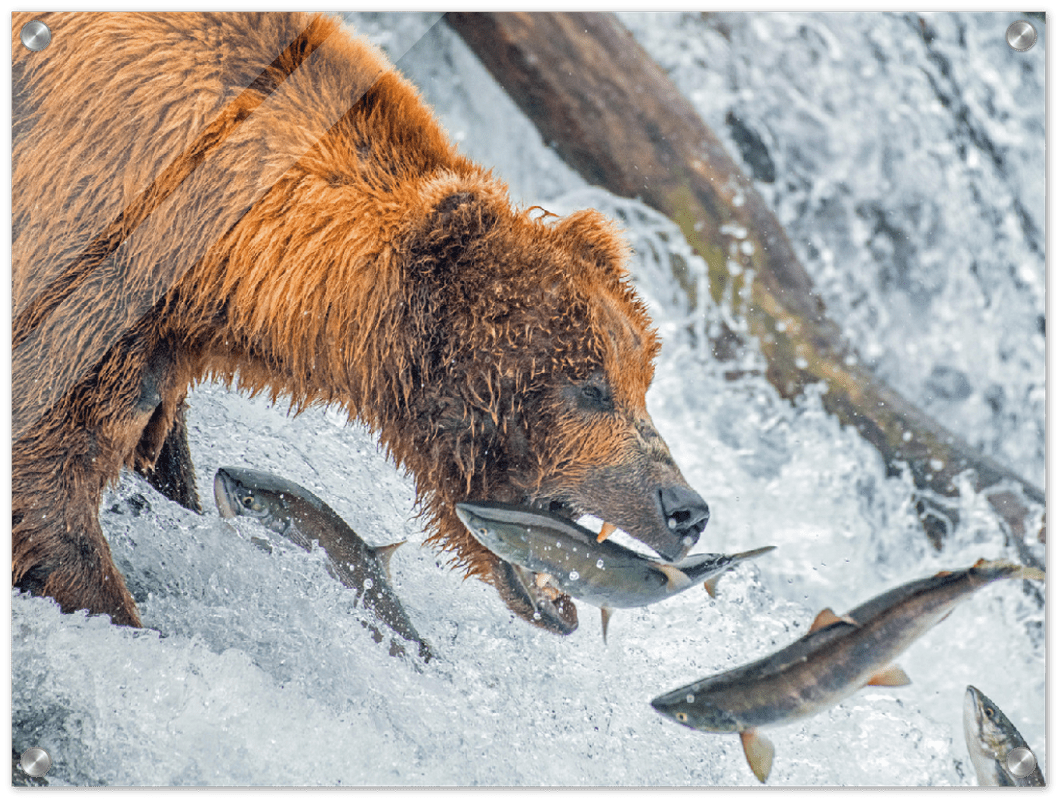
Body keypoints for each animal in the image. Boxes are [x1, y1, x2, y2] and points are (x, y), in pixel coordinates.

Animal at [10, 11, 710, 633]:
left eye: (641, 380)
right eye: (590, 387)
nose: (686, 508)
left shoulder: (159, 339)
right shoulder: (88, 260)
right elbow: (46, 481)